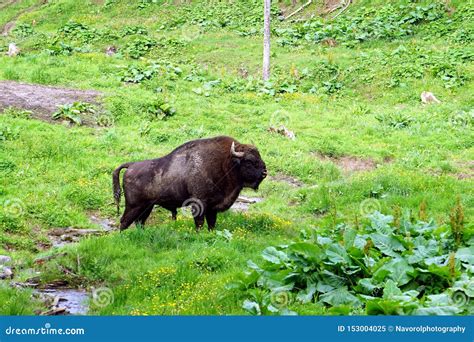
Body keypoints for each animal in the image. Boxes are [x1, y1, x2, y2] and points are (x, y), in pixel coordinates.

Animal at [111, 136, 266, 230]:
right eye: (249, 161)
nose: (265, 172)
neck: (226, 163)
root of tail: (131, 165)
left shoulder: (212, 207)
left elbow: (211, 223)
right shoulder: (199, 203)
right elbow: (199, 222)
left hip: (146, 206)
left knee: (139, 222)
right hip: (133, 206)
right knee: (124, 222)